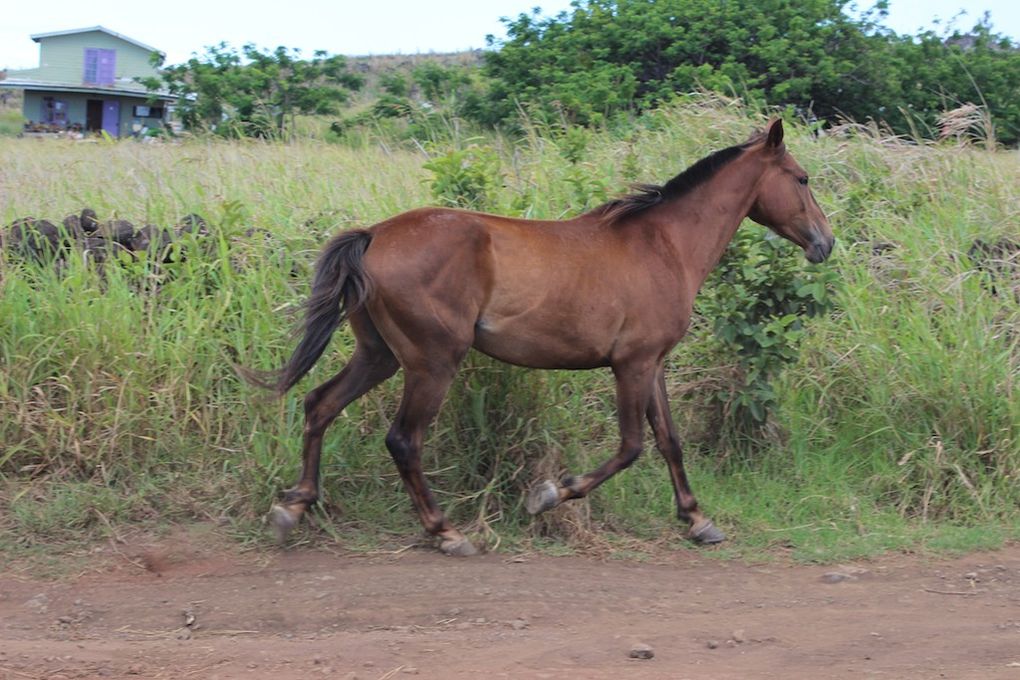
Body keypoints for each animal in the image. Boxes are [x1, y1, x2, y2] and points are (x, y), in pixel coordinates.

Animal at [244, 119, 828, 554]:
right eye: (801, 178)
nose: (825, 242)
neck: (664, 245)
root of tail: (373, 236)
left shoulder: (654, 363)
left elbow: (669, 441)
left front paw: (698, 520)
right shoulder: (632, 363)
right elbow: (631, 446)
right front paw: (549, 494)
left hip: (379, 355)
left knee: (320, 405)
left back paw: (291, 508)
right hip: (432, 361)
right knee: (403, 439)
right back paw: (447, 532)